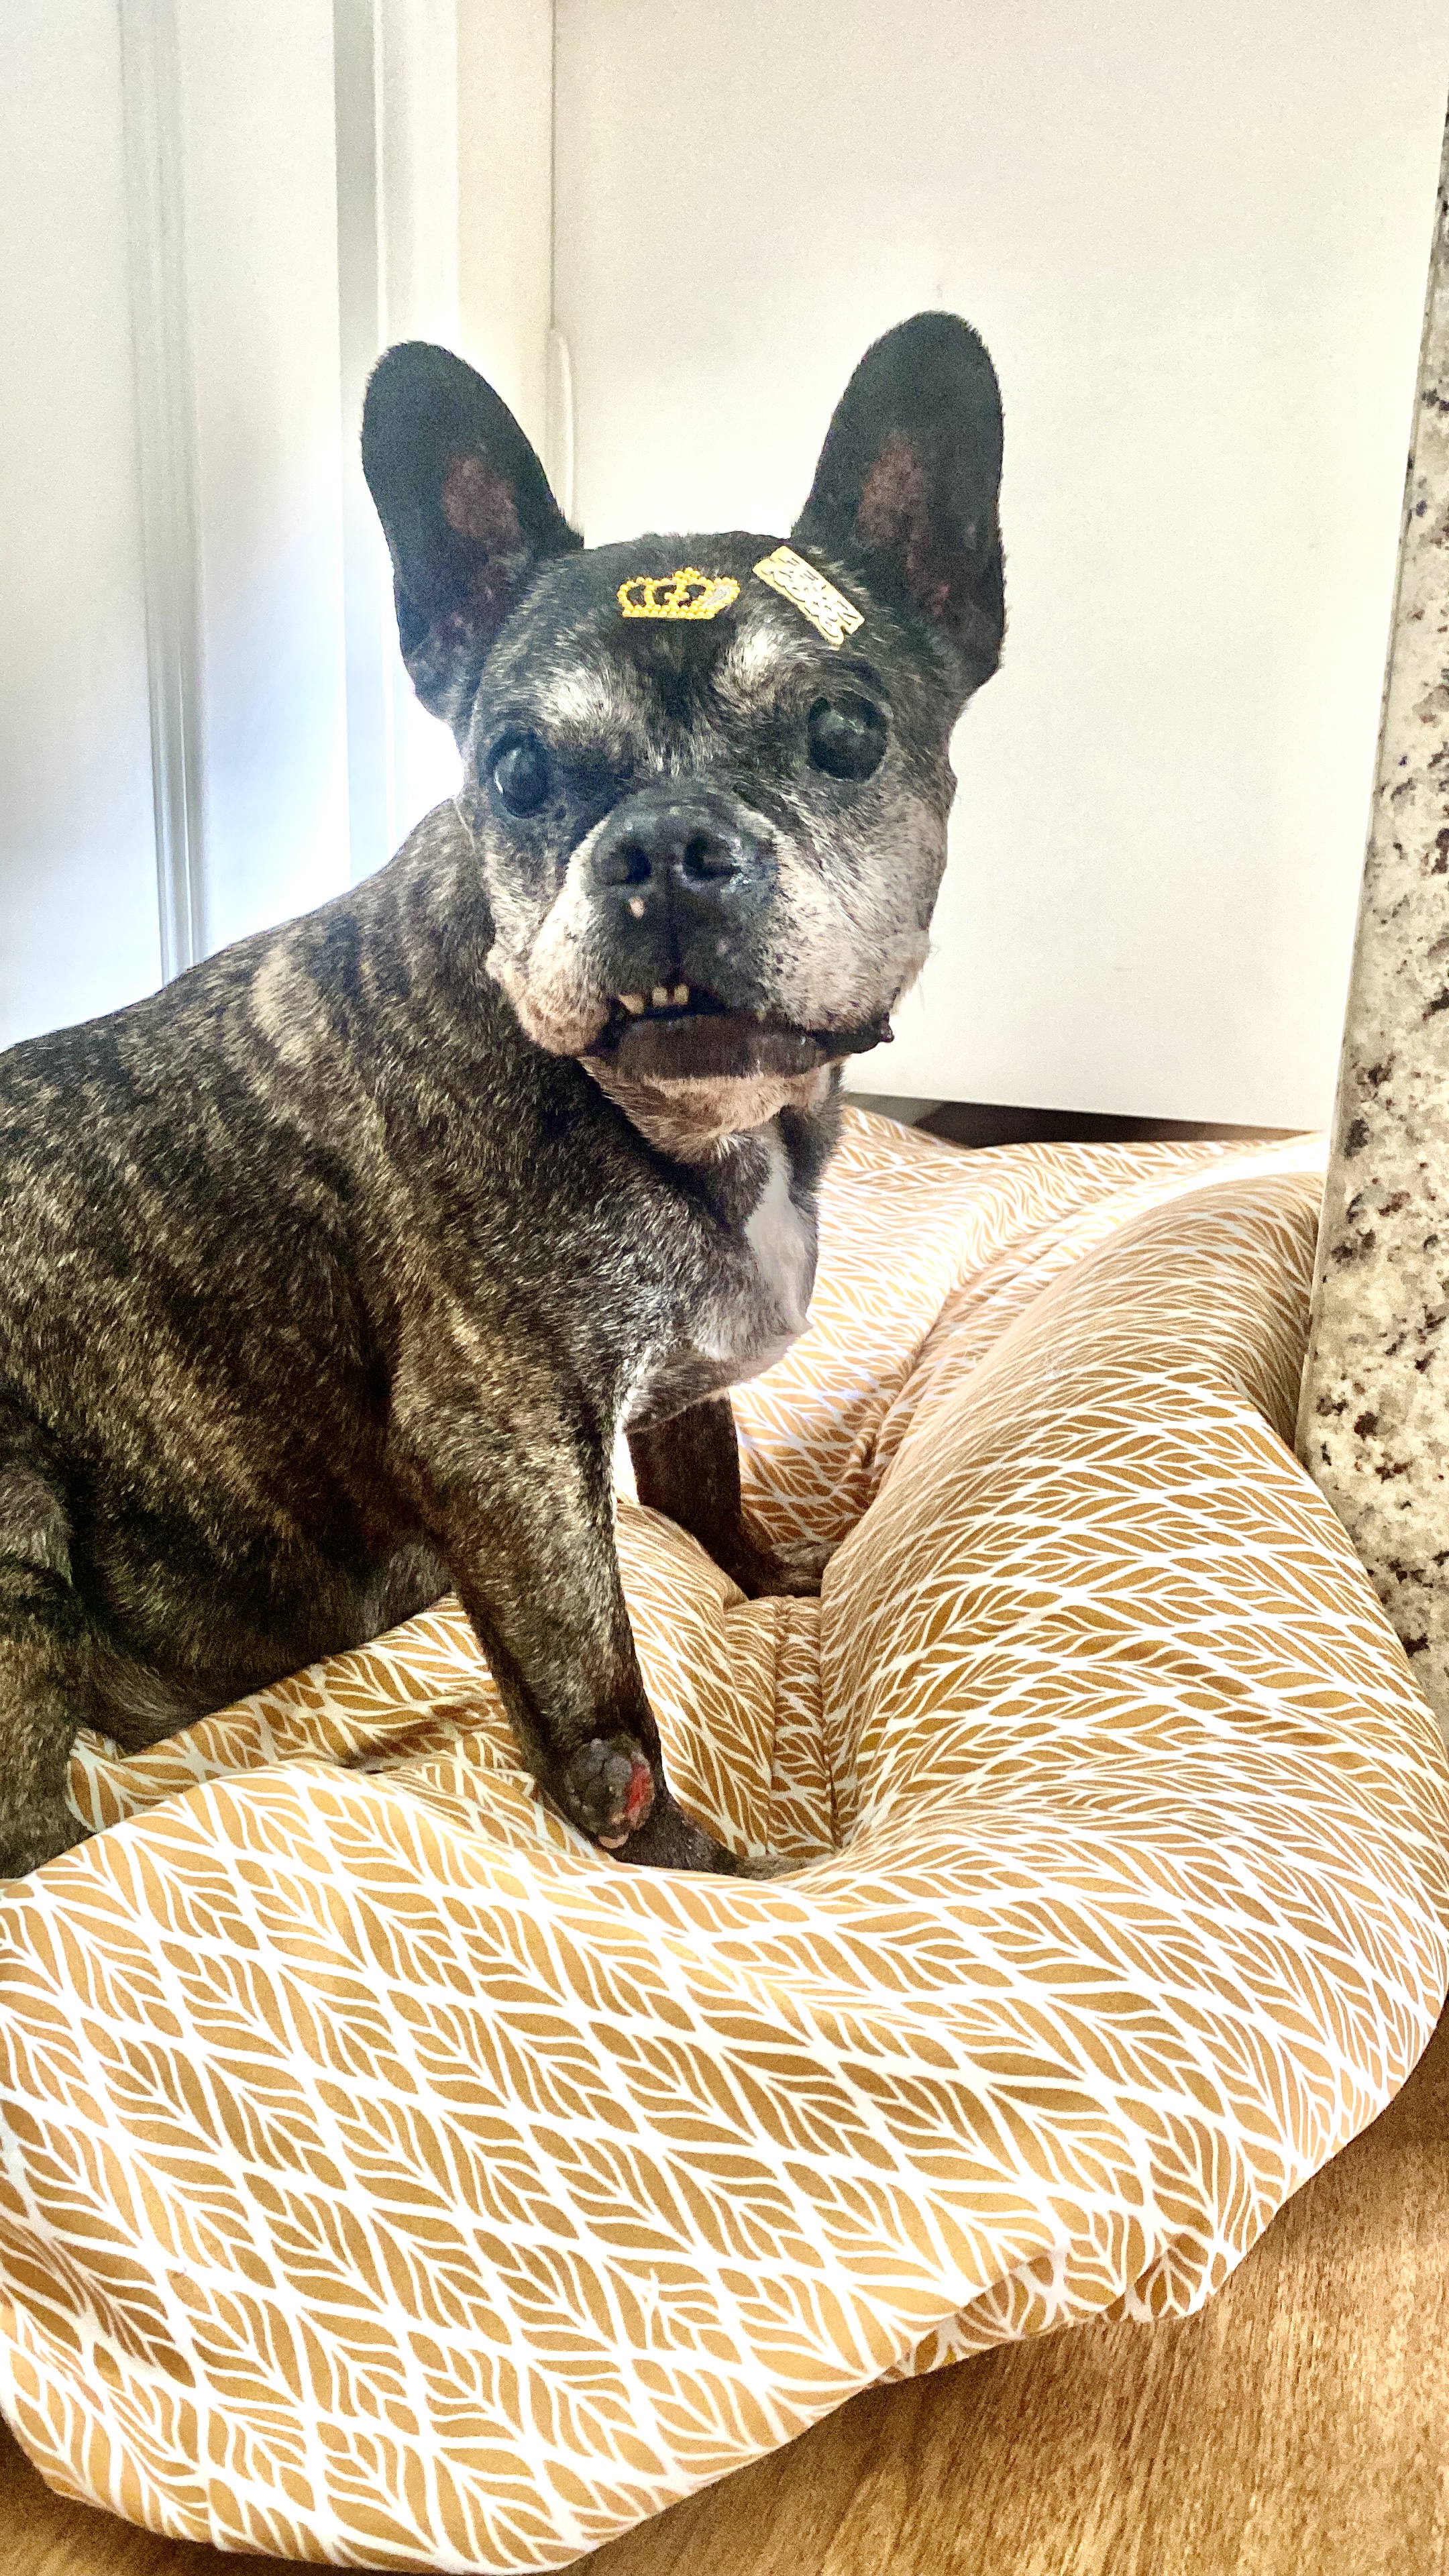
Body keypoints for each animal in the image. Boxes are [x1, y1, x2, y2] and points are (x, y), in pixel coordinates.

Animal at [0, 311, 1004, 1878]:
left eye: (845, 734)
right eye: (519, 769)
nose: (666, 846)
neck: (690, 1124)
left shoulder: (674, 1387)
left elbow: (706, 1484)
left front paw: (767, 1575)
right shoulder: (509, 1449)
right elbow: (600, 1688)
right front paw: (692, 1869)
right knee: (34, 1835)